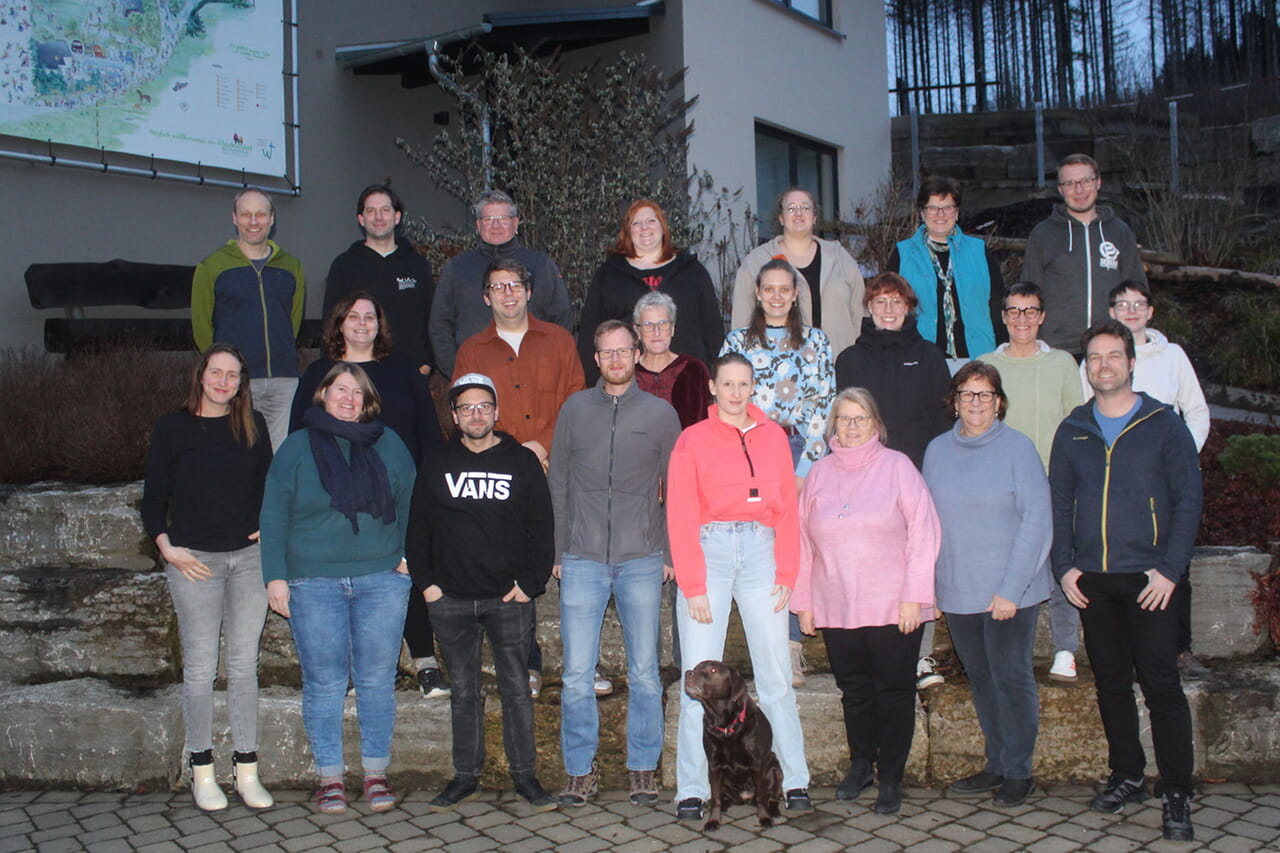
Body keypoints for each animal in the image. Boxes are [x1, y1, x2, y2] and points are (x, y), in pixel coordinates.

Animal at [686, 655, 783, 829]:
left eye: (713, 670)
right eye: (696, 668)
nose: (688, 673)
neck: (725, 724)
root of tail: (745, 797)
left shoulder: (757, 763)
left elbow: (761, 796)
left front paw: (764, 818)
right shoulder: (714, 764)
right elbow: (716, 797)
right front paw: (713, 820)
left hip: (775, 767)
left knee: (773, 795)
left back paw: (773, 810)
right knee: (723, 797)